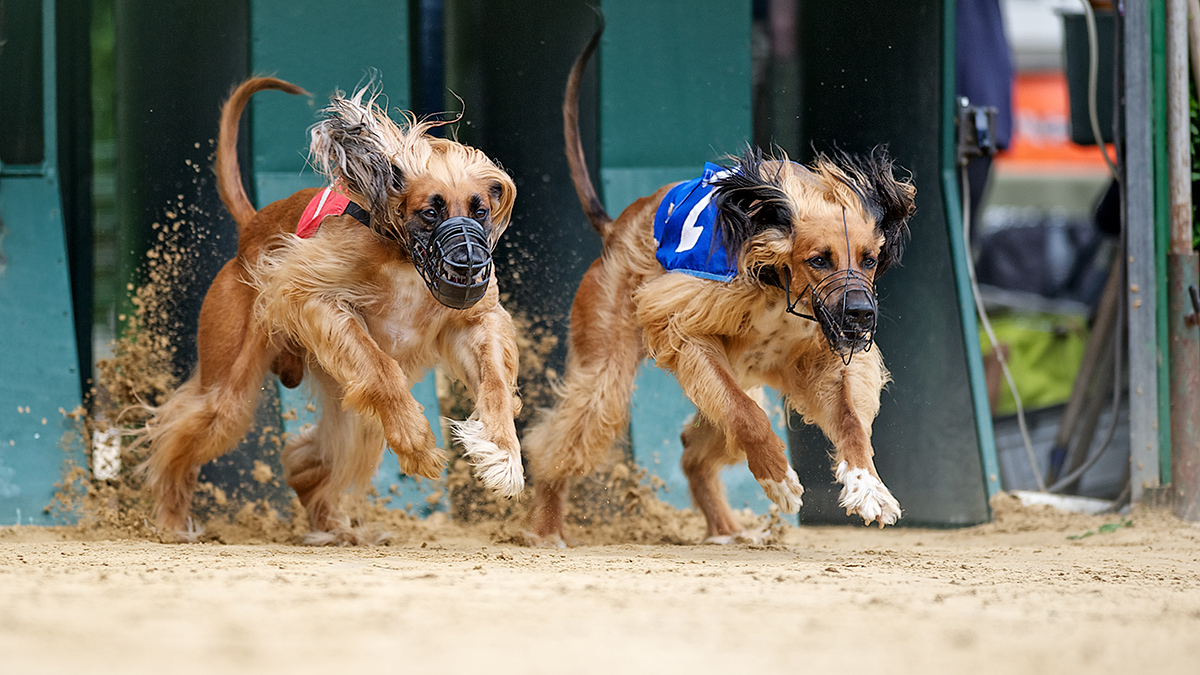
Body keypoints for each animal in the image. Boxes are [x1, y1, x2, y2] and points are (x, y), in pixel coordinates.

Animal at [136, 77, 520, 540]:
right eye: (431, 211)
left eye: (480, 210)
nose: (469, 266)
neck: (403, 256)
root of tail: (250, 227)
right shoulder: (310, 294)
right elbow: (381, 368)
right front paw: (417, 444)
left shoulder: (472, 322)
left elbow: (494, 381)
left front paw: (502, 454)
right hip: (228, 380)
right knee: (179, 434)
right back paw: (171, 521)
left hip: (343, 400)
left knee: (309, 462)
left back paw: (333, 526)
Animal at [520, 26, 912, 542]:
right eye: (818, 260)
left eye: (869, 260)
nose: (861, 315)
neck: (779, 286)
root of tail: (616, 228)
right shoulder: (687, 329)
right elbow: (746, 417)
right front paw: (777, 478)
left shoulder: (819, 359)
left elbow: (848, 418)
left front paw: (868, 486)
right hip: (606, 364)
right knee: (559, 441)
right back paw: (546, 526)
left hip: (745, 373)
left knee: (692, 449)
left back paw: (726, 527)